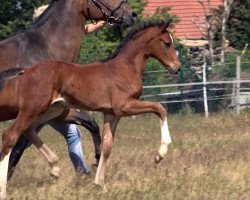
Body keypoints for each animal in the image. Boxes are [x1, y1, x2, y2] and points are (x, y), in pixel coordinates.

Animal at [0, 0, 137, 186]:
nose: (132, 14)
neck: (42, 51)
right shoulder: (35, 113)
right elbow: (19, 145)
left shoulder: (58, 110)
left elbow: (91, 123)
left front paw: (97, 159)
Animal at [0, 19, 180, 192]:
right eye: (167, 43)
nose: (177, 68)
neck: (125, 68)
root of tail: (25, 71)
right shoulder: (124, 106)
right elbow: (160, 108)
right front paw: (160, 154)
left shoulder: (112, 113)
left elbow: (107, 146)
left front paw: (100, 184)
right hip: (33, 108)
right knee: (10, 135)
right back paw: (5, 188)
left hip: (52, 110)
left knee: (28, 130)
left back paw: (55, 167)